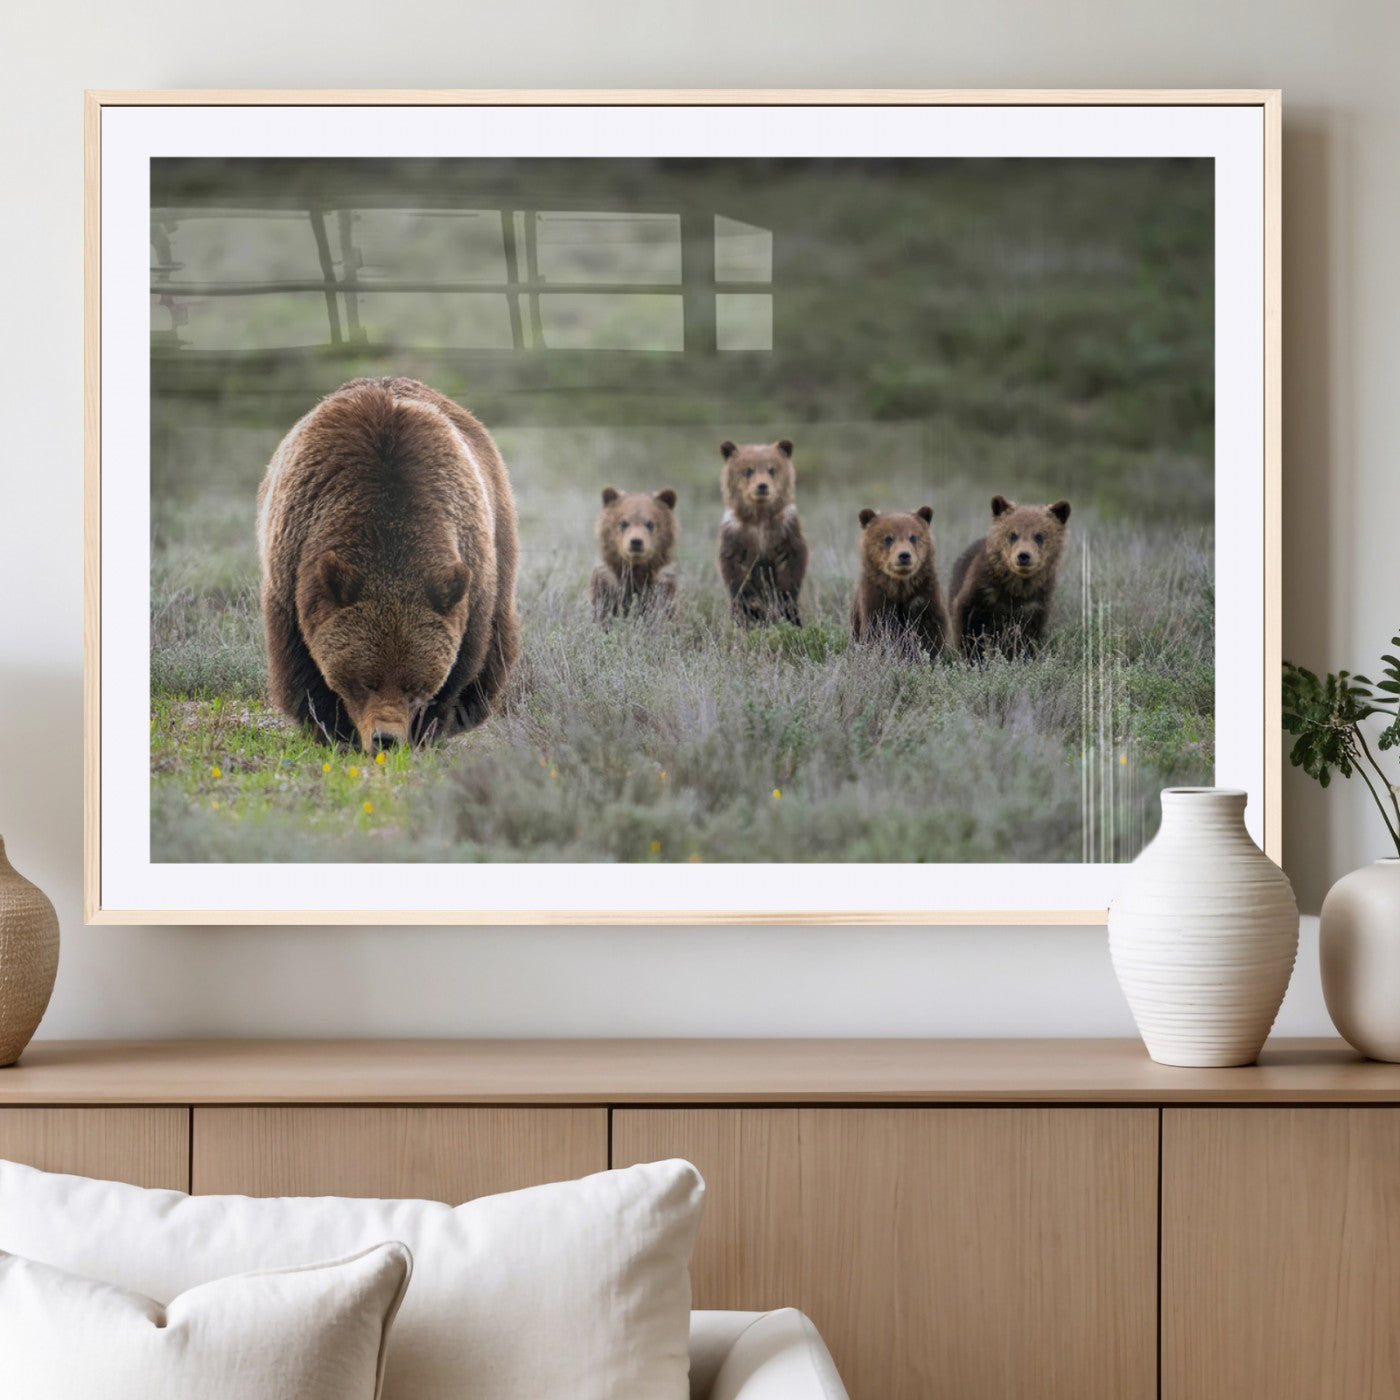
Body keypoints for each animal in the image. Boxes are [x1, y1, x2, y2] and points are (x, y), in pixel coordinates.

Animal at [256, 376, 521, 752]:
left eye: (415, 684)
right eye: (365, 680)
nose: (386, 738)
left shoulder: (471, 573)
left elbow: (463, 662)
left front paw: (427, 729)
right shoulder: (293, 568)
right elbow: (301, 665)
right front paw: (332, 729)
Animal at [589, 486, 680, 622]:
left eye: (650, 523)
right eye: (624, 523)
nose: (636, 541)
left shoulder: (662, 584)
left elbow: (664, 609)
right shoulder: (607, 583)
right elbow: (603, 609)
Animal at [716, 438, 808, 626]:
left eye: (772, 469)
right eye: (748, 469)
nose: (762, 486)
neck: (760, 519)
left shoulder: (786, 529)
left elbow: (792, 564)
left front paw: (781, 602)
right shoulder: (736, 534)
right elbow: (735, 571)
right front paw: (754, 605)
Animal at [850, 505, 951, 659]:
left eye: (913, 537)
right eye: (888, 538)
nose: (904, 555)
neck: (900, 587)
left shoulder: (923, 597)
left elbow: (929, 632)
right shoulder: (876, 599)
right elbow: (878, 631)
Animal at [948, 494, 1072, 661]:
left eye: (1039, 535)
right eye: (1013, 534)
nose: (1024, 555)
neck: (1016, 588)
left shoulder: (1035, 603)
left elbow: (1028, 637)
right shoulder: (982, 593)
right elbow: (969, 626)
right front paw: (974, 657)